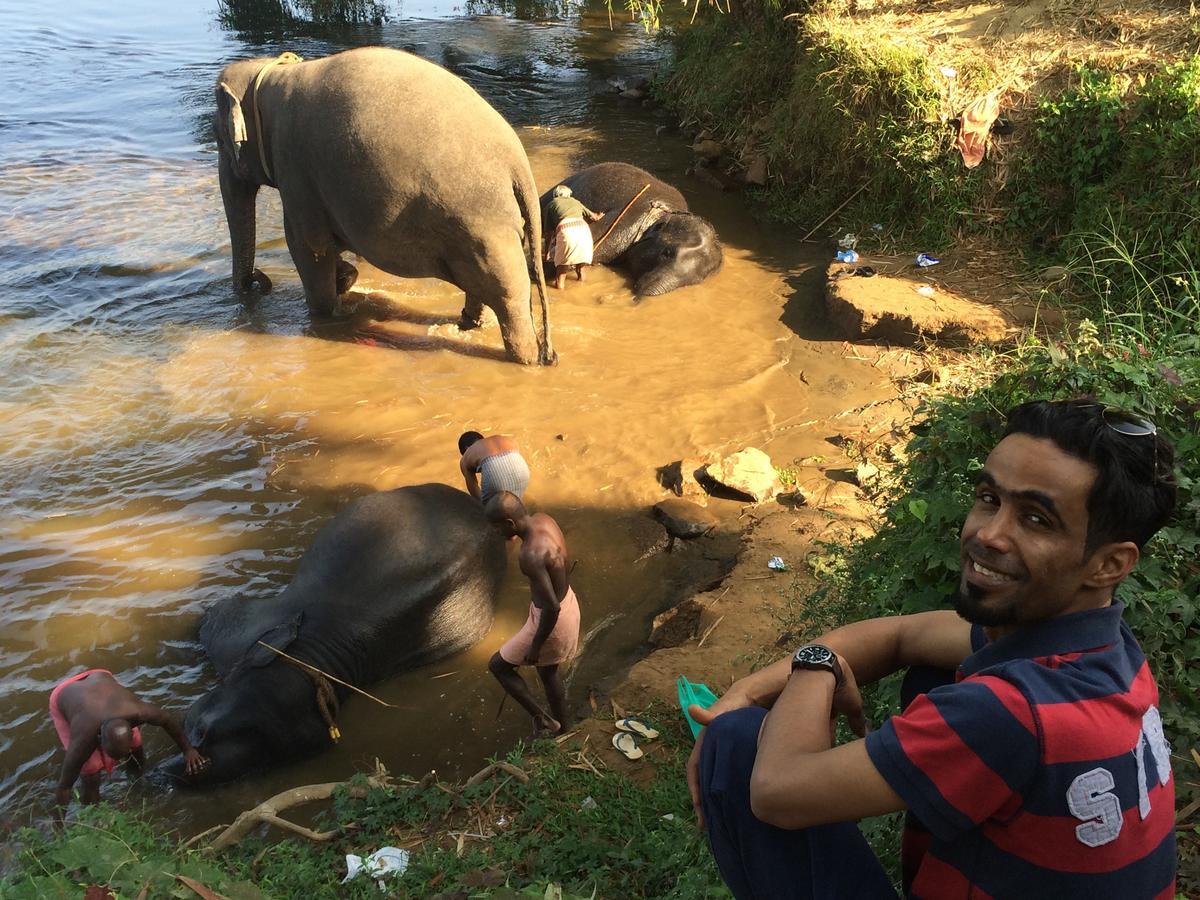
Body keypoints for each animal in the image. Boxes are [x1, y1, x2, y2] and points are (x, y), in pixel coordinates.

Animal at [210, 47, 552, 367]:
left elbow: (309, 248)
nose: (258, 281)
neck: (272, 75)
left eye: (219, 140)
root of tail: (518, 163)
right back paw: (469, 324)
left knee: (508, 291)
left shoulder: (295, 171)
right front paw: (345, 277)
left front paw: (325, 314)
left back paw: (525, 359)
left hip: (483, 221)